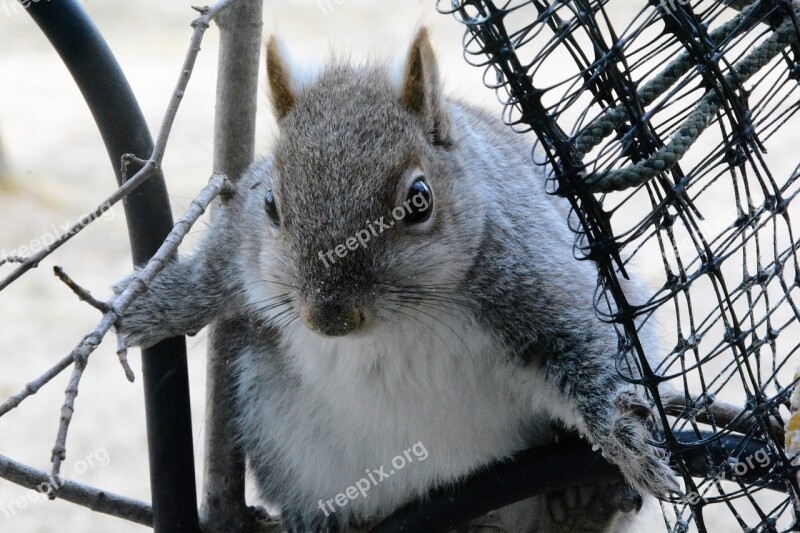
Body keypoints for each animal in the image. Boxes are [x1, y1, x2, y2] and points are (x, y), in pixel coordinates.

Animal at [117, 28, 680, 532]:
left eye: (420, 201)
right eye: (270, 202)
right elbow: (214, 267)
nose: (330, 318)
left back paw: (585, 498)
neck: (395, 326)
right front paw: (156, 302)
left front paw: (621, 432)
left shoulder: (530, 270)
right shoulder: (242, 238)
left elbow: (587, 345)